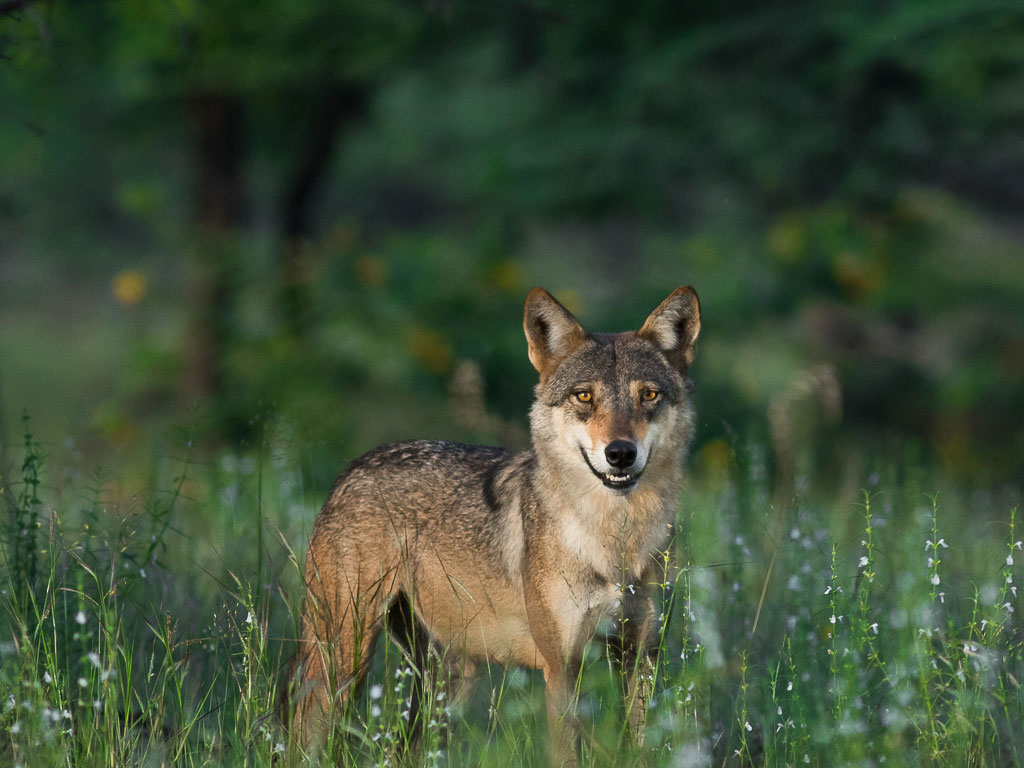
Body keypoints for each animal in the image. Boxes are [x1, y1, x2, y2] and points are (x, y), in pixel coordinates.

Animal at [292, 286, 700, 765]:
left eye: (649, 395)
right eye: (584, 397)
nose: (620, 453)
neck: (615, 540)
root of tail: (350, 469)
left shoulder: (640, 658)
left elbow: (640, 747)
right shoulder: (561, 669)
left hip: (446, 682)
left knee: (404, 747)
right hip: (344, 658)